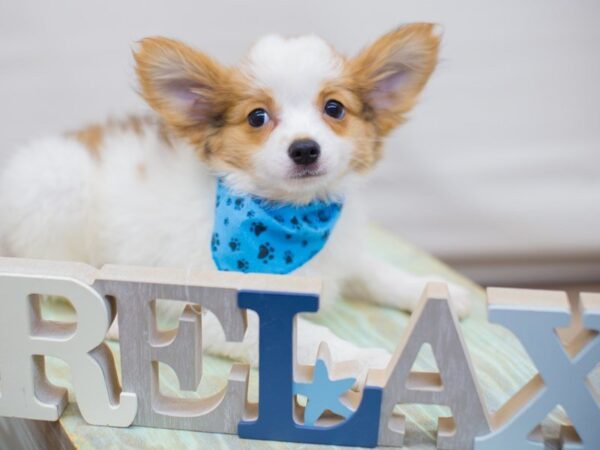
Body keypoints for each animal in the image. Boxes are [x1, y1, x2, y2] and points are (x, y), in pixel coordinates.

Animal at [0, 22, 468, 370]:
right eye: (257, 117)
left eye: (334, 108)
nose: (304, 149)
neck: (292, 216)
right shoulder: (223, 313)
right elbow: (312, 337)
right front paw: (372, 360)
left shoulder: (343, 252)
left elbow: (376, 272)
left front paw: (435, 288)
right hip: (56, 190)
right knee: (57, 283)